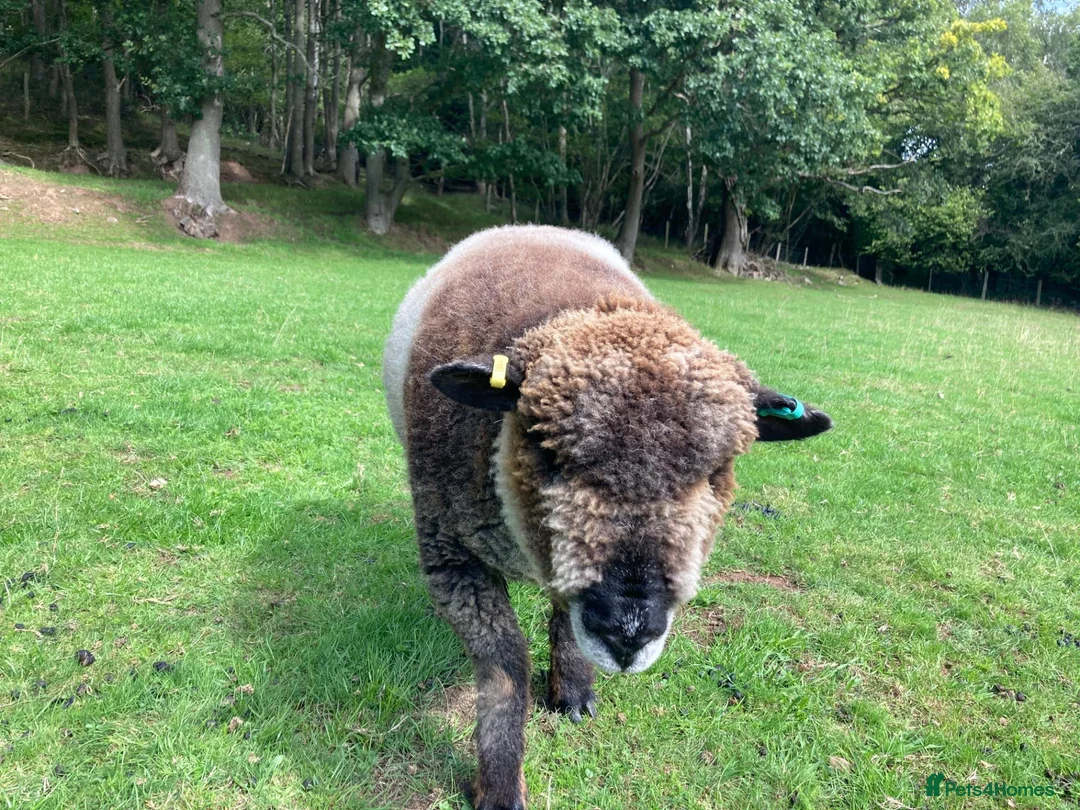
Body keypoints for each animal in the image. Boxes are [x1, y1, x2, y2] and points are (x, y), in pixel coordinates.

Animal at [383, 225, 832, 810]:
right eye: (546, 451)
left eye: (718, 470)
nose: (628, 633)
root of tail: (536, 229)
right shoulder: (451, 557)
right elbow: (506, 666)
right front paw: (500, 785)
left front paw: (573, 693)